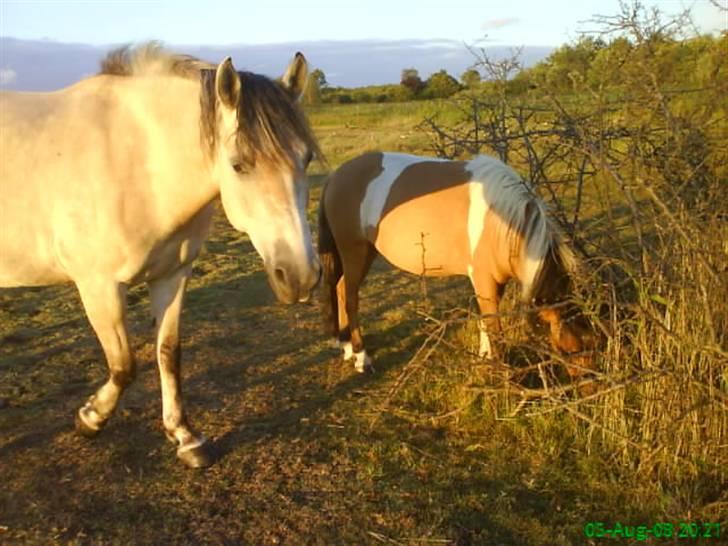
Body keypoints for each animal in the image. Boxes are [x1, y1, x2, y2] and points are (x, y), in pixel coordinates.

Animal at [0, 44, 322, 466]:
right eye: (239, 165)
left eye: (307, 159)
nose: (301, 277)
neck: (134, 161)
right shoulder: (99, 287)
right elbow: (124, 365)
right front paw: (90, 419)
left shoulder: (173, 275)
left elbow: (168, 353)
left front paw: (185, 436)